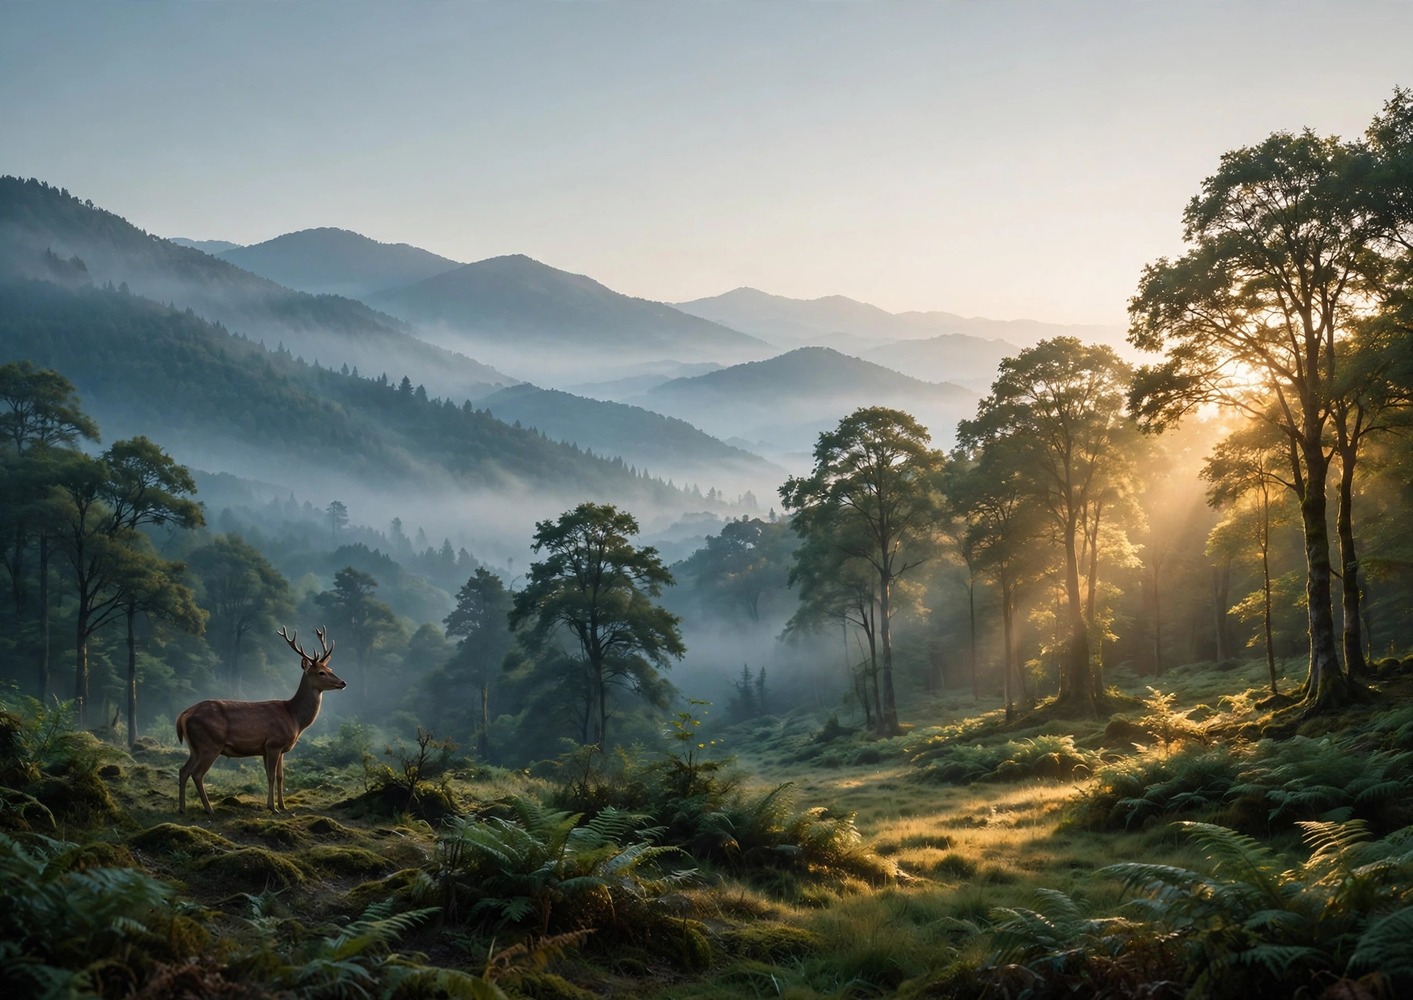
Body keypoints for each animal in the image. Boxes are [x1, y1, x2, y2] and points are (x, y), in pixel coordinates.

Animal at [177, 626, 347, 815]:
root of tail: (184, 714)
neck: (294, 717)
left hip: (195, 747)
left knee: (183, 770)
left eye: (330, 669)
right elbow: (271, 776)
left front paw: (282, 805)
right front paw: (273, 807)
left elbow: (280, 777)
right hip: (210, 743)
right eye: (321, 673)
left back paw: (182, 809)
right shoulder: (273, 743)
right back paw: (209, 809)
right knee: (197, 774)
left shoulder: (277, 749)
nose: (343, 682)